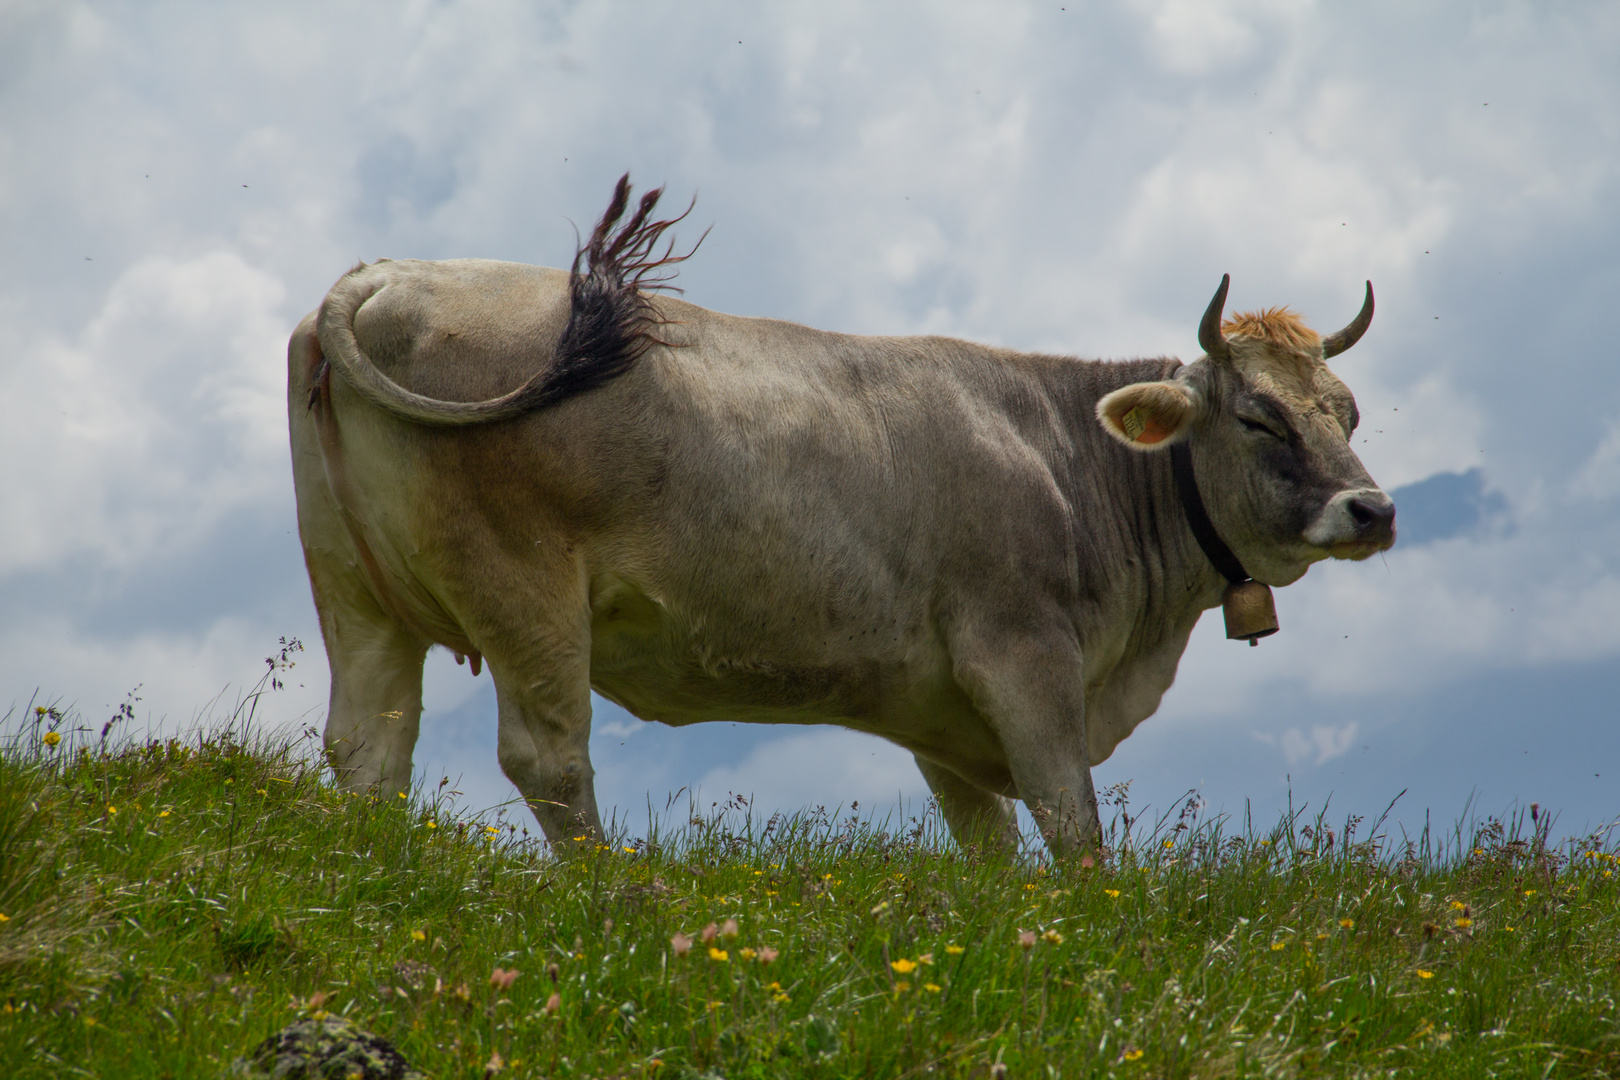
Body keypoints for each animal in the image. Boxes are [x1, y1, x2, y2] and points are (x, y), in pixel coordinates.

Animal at [288, 175, 1393, 854]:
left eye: (1347, 412)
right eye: (1257, 417)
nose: (1372, 508)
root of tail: (383, 275)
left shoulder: (942, 710)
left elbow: (992, 845)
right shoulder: (1024, 654)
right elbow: (1071, 824)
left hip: (354, 591)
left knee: (367, 749)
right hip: (524, 589)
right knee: (547, 757)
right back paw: (619, 901)